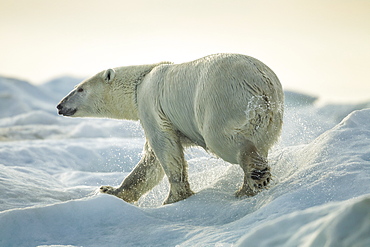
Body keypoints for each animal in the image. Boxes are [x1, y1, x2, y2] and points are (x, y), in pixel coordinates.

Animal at [57, 54, 284, 205]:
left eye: (80, 89)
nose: (60, 105)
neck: (141, 81)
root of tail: (262, 82)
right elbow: (150, 162)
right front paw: (110, 190)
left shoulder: (152, 106)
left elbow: (164, 147)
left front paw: (173, 198)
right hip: (271, 120)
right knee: (261, 143)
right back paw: (246, 188)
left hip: (222, 101)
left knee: (223, 140)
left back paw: (255, 177)